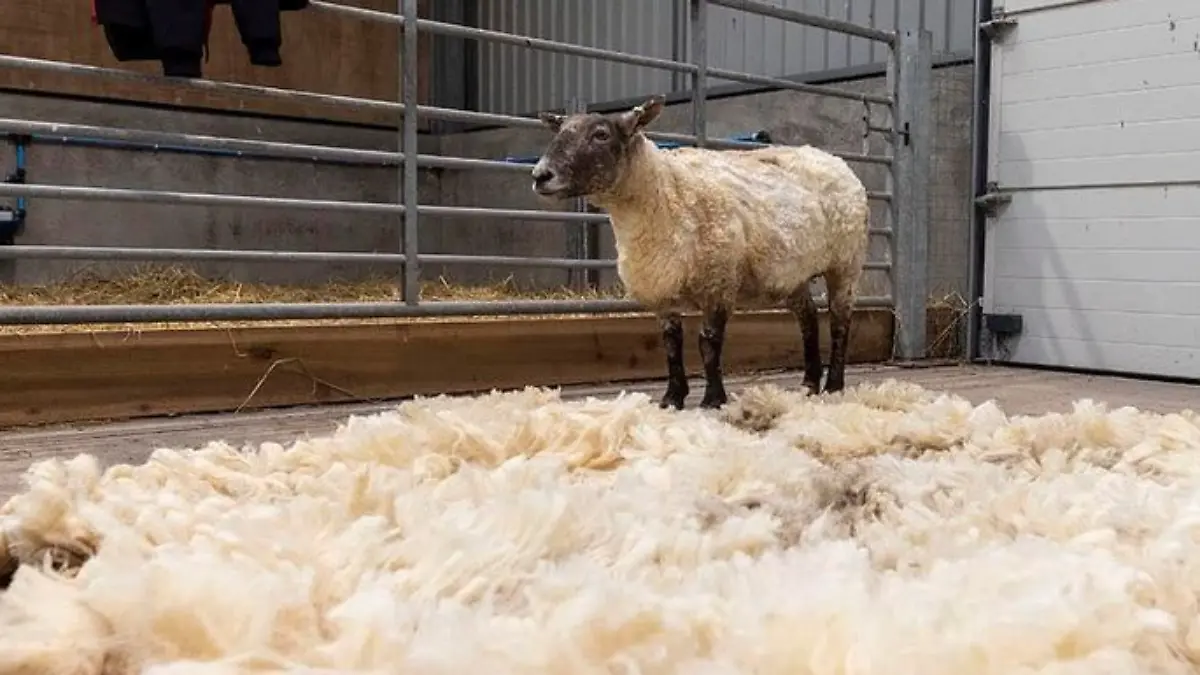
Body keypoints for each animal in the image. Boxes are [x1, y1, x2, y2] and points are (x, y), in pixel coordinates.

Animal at [530, 95, 870, 410]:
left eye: (600, 134)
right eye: (560, 131)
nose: (540, 175)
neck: (666, 194)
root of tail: (832, 158)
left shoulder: (718, 282)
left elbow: (708, 343)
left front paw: (712, 399)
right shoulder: (662, 292)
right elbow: (671, 345)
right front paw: (672, 398)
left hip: (847, 262)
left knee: (840, 322)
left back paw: (834, 385)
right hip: (793, 272)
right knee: (808, 320)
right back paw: (809, 384)